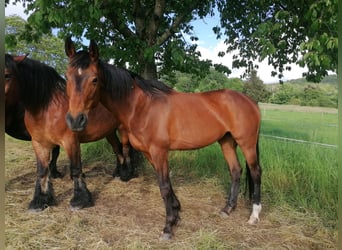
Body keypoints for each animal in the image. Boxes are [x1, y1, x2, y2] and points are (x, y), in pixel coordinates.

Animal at [4, 54, 140, 211]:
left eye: (7, 75)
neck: (48, 107)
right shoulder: (39, 143)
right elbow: (42, 171)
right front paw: (40, 200)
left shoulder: (70, 141)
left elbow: (75, 168)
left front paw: (80, 200)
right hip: (109, 132)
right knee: (117, 148)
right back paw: (118, 172)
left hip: (123, 129)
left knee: (125, 149)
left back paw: (128, 174)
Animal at [64, 38, 262, 239]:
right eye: (67, 77)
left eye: (94, 79)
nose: (75, 120)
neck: (141, 107)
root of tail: (250, 101)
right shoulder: (150, 154)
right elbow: (167, 185)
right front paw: (176, 212)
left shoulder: (159, 152)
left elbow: (164, 186)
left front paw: (168, 226)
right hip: (226, 141)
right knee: (236, 171)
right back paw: (228, 209)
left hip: (247, 143)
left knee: (256, 172)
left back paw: (254, 215)